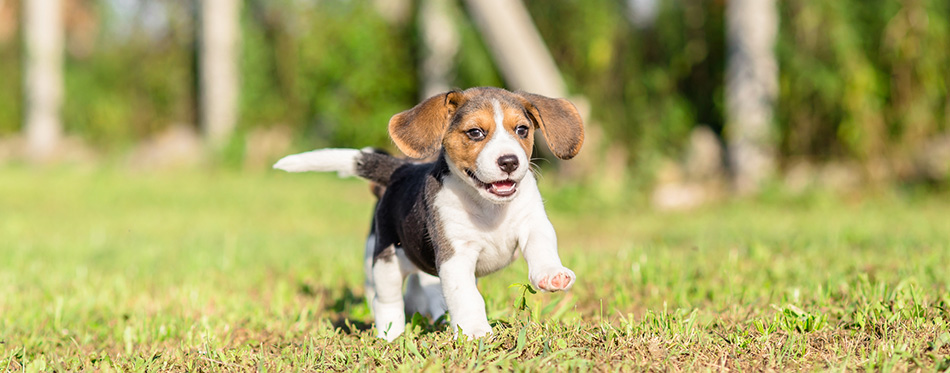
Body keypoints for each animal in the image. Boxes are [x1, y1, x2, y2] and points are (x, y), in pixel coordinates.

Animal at [276, 86, 584, 340]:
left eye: (521, 130)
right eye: (475, 132)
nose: (509, 161)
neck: (488, 206)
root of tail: (400, 170)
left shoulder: (533, 224)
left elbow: (542, 248)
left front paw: (551, 274)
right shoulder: (455, 256)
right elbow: (467, 297)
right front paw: (475, 331)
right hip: (386, 260)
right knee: (386, 301)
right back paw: (392, 336)